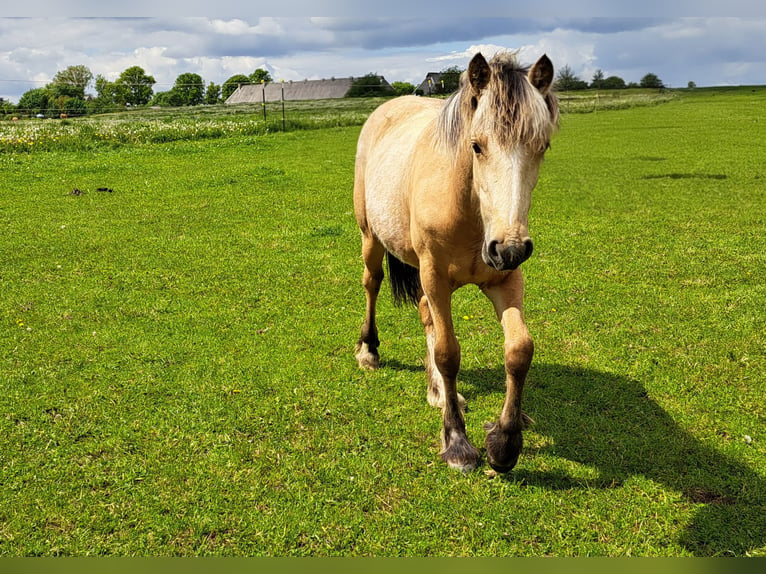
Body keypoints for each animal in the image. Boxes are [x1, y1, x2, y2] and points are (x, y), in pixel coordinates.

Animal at [353, 51, 559, 473]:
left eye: (542, 146)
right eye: (476, 146)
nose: (508, 248)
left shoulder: (505, 280)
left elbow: (519, 350)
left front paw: (504, 443)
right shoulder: (435, 277)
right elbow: (448, 353)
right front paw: (457, 442)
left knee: (424, 313)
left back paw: (437, 392)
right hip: (371, 239)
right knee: (372, 283)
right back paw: (369, 350)